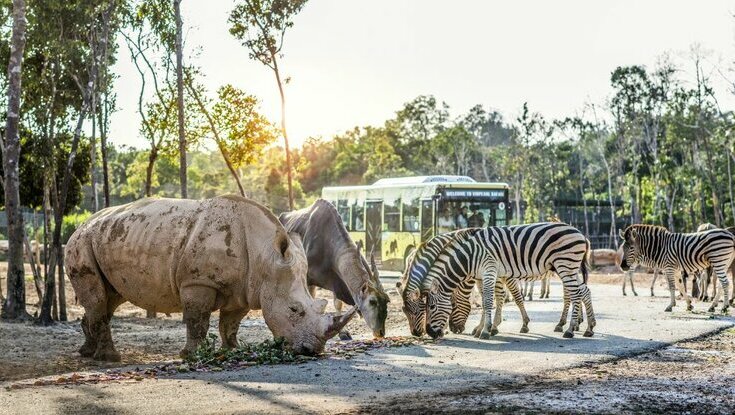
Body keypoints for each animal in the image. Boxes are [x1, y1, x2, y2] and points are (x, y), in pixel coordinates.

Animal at [414, 224, 600, 342]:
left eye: (431, 307)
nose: (430, 332)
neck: (470, 256)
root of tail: (580, 233)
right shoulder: (483, 276)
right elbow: (487, 301)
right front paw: (481, 329)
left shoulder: (489, 271)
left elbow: (489, 301)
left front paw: (486, 331)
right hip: (568, 267)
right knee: (584, 291)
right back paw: (589, 328)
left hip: (565, 265)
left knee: (575, 294)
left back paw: (570, 329)